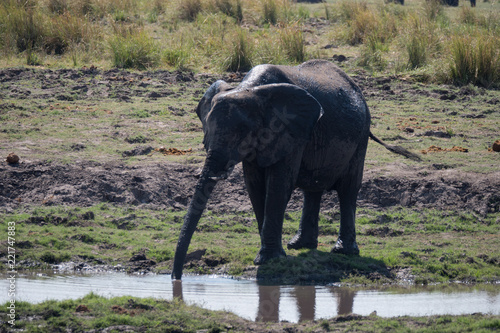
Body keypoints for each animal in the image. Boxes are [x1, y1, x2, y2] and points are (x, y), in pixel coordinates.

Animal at [172, 59, 418, 278]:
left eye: (241, 135)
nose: (176, 276)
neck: (249, 90)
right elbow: (255, 186)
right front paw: (272, 254)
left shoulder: (291, 132)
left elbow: (278, 186)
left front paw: (269, 259)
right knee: (313, 189)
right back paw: (300, 246)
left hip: (361, 137)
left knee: (348, 190)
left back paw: (343, 251)